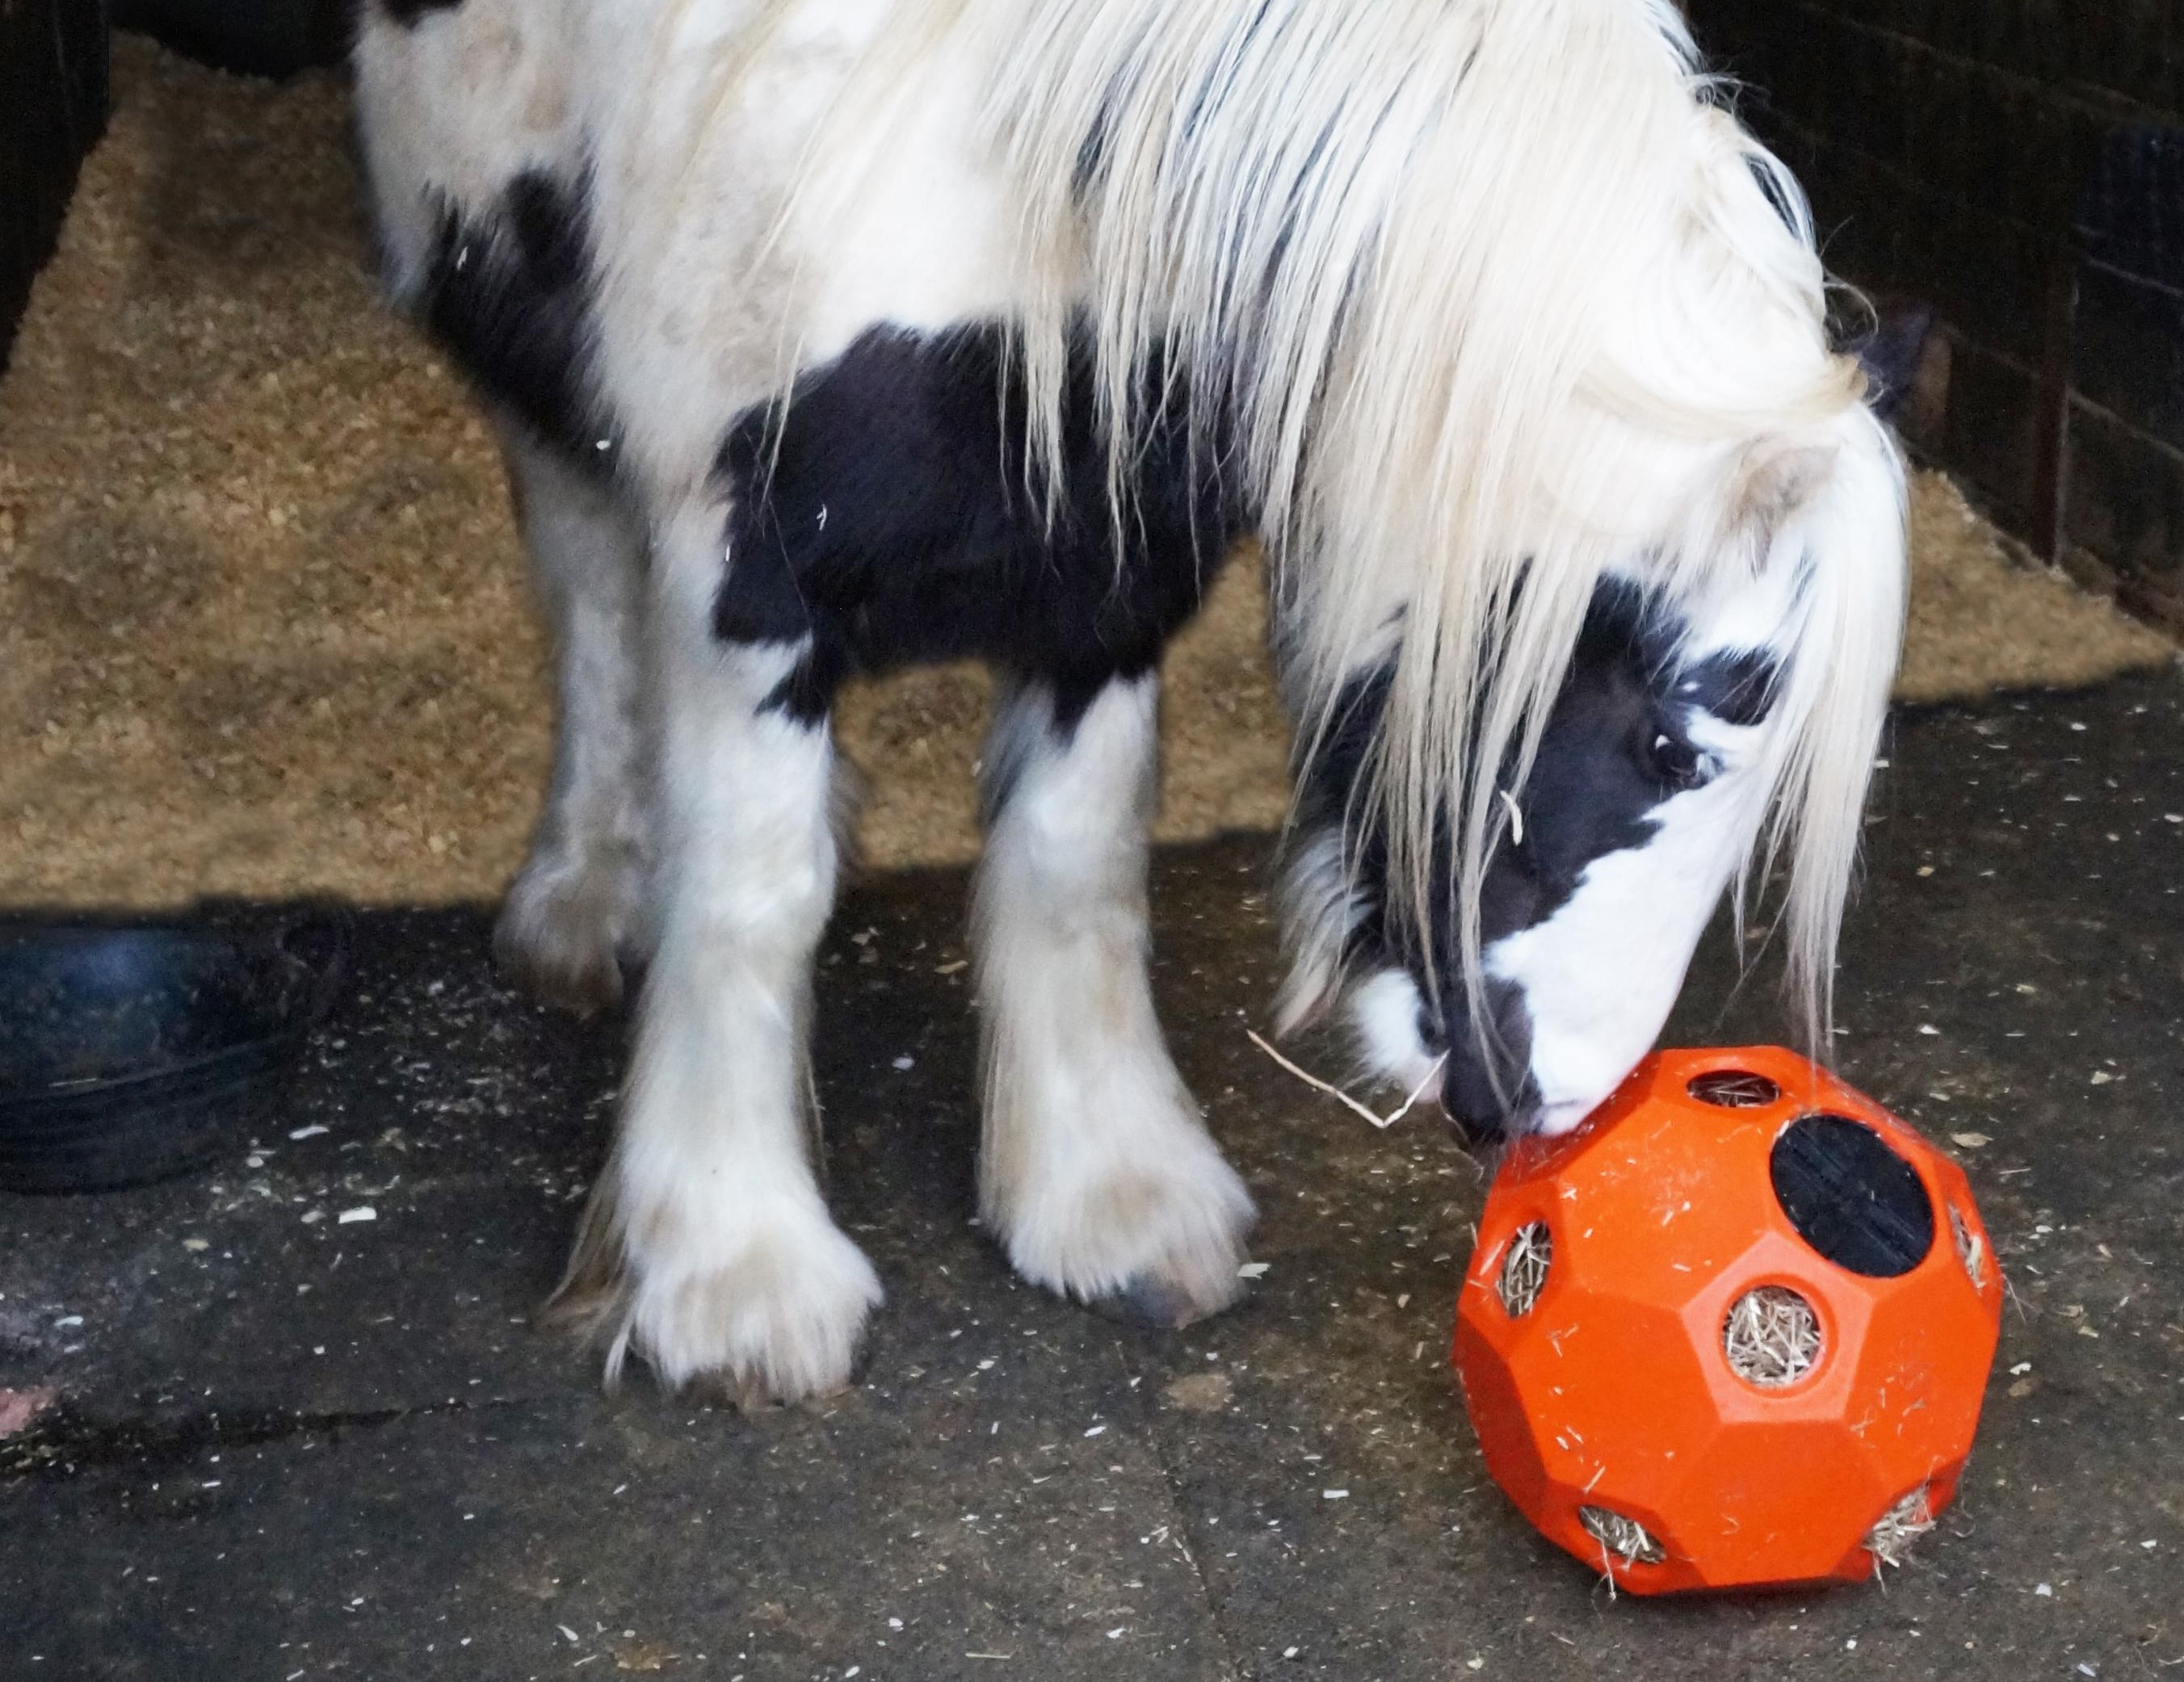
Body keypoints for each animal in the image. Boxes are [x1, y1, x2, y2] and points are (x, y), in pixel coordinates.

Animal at [354, 0, 1908, 1405]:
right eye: (1667, 736)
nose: (1536, 1103)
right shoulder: (749, 578)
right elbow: (750, 893)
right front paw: (731, 1271)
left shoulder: (1106, 576)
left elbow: (1072, 862)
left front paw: (1110, 1195)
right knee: (586, 585)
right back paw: (582, 896)